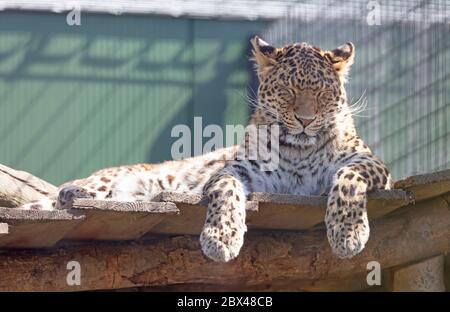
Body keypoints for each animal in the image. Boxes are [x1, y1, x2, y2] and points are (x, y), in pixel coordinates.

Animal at [18, 36, 390, 260]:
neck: (299, 151)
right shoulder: (238, 171)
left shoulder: (373, 164)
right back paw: (73, 192)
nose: (305, 120)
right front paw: (220, 238)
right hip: (113, 180)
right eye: (288, 90)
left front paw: (347, 234)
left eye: (323, 94)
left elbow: (348, 179)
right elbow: (226, 190)